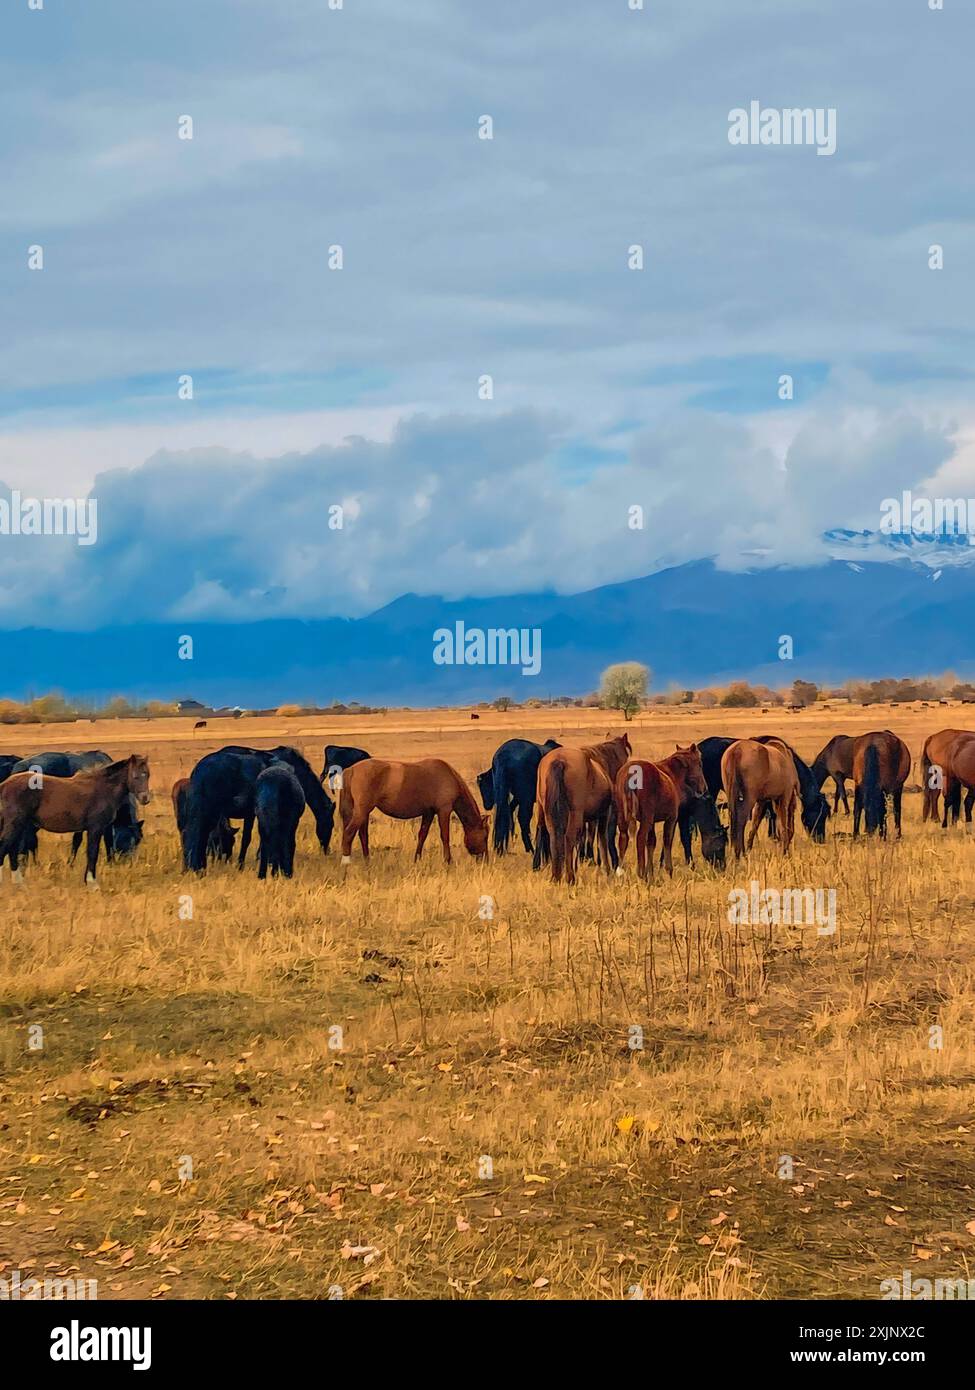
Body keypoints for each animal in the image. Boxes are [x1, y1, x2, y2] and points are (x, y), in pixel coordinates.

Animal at [0, 756, 150, 884]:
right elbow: (92, 852)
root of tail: (4, 784)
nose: (145, 798)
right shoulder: (96, 828)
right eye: (135, 776)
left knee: (13, 849)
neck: (102, 788)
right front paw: (92, 883)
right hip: (15, 824)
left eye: (147, 774)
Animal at [182, 750, 335, 867]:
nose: (326, 851)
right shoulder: (253, 813)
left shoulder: (252, 814)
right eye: (331, 825)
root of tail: (198, 770)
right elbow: (248, 839)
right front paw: (245, 863)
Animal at [337, 756, 486, 861]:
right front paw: (448, 861)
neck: (449, 776)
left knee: (362, 835)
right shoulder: (444, 811)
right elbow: (445, 836)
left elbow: (422, 835)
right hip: (362, 812)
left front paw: (417, 859)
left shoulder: (429, 812)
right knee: (349, 834)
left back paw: (367, 861)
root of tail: (351, 769)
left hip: (362, 813)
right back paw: (346, 864)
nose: (485, 860)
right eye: (485, 836)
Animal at [531, 733, 631, 884]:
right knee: (568, 838)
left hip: (546, 812)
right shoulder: (603, 815)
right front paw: (604, 867)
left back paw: (554, 875)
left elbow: (582, 838)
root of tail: (559, 760)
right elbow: (600, 839)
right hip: (575, 814)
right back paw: (570, 877)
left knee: (550, 834)